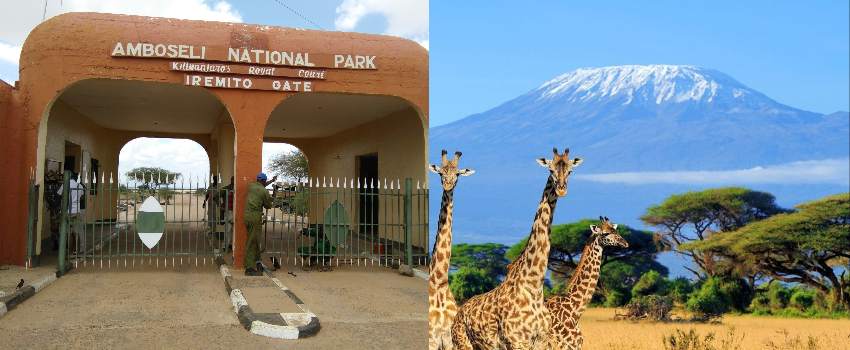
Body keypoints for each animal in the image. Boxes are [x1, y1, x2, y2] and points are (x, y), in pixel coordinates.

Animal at [450, 148, 584, 350]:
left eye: (570, 171)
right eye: (551, 170)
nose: (561, 189)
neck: (534, 286)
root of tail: (458, 314)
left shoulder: (541, 341)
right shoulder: (516, 341)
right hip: (462, 344)